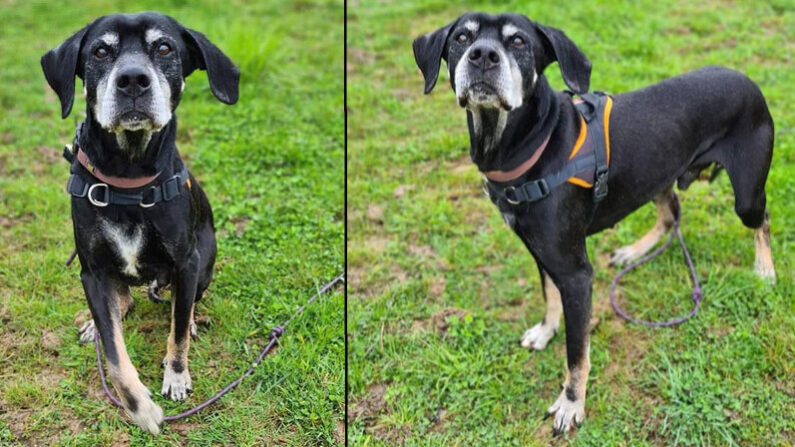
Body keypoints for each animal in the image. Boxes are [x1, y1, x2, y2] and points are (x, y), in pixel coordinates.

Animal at [41, 12, 239, 436]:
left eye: (164, 47)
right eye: (100, 51)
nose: (132, 80)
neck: (127, 180)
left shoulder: (186, 263)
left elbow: (176, 333)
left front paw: (176, 376)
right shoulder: (92, 272)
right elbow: (115, 355)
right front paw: (141, 407)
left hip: (205, 262)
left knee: (183, 304)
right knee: (123, 301)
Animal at [414, 12, 776, 436]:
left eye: (519, 41)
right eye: (461, 37)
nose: (483, 55)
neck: (531, 143)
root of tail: (748, 80)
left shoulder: (575, 274)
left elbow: (576, 354)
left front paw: (571, 404)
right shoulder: (542, 251)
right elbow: (548, 295)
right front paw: (545, 330)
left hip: (746, 195)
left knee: (761, 218)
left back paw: (765, 269)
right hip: (655, 173)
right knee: (670, 211)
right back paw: (633, 251)